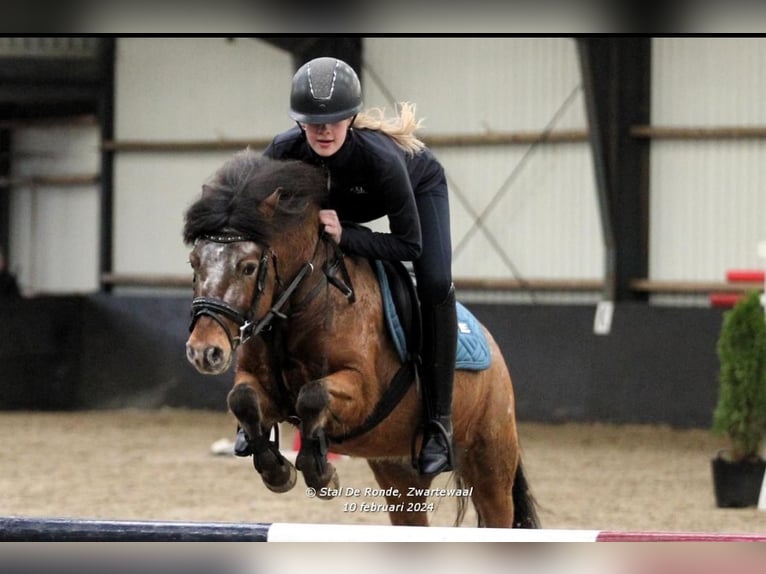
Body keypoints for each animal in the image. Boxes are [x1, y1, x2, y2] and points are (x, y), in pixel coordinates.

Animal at [182, 150, 540, 532]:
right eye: (194, 262)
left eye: (248, 267)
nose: (204, 352)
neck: (299, 306)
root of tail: (495, 352)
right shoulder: (261, 386)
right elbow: (243, 399)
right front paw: (277, 470)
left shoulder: (362, 391)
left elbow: (313, 396)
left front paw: (321, 473)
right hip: (398, 470)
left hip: (489, 460)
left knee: (498, 510)